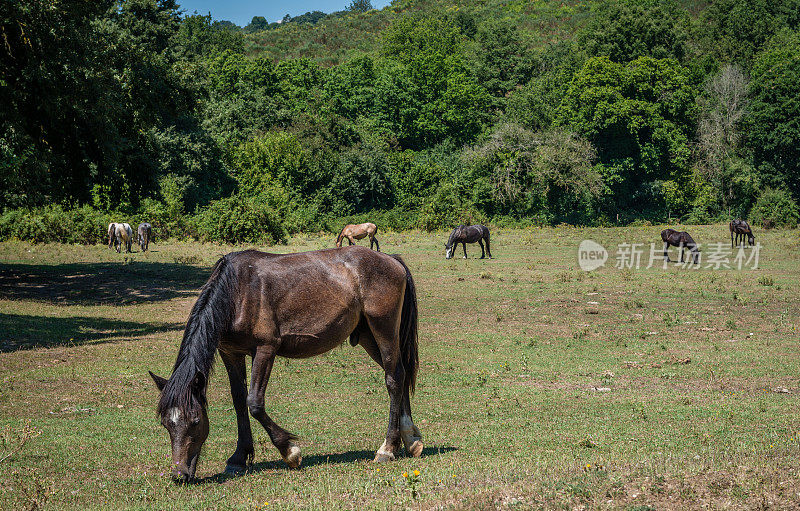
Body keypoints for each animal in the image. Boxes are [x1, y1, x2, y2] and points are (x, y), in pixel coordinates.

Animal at [151, 246, 424, 482]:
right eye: (166, 423)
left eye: (196, 421)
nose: (180, 474)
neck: (237, 291)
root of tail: (390, 259)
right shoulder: (231, 353)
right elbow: (239, 402)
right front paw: (238, 458)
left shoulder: (265, 350)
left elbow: (254, 403)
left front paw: (289, 451)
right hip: (368, 335)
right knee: (399, 373)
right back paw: (411, 440)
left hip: (383, 329)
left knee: (393, 379)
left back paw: (387, 448)